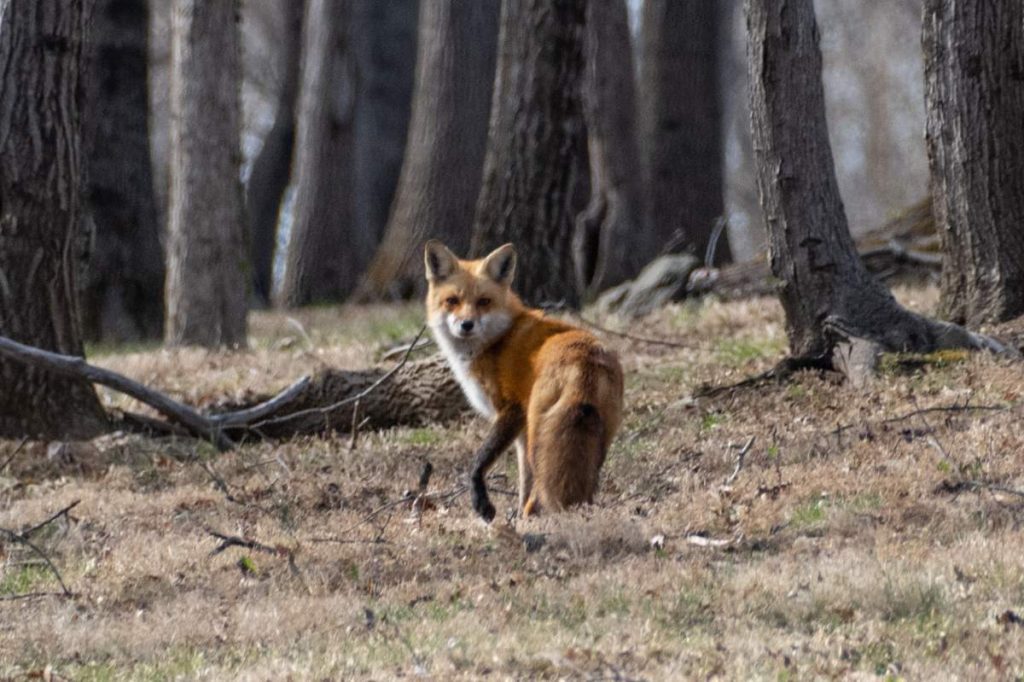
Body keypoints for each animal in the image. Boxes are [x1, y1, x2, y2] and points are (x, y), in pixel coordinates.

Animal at [423, 240, 624, 522]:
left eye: (484, 301)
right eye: (452, 301)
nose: (466, 325)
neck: (497, 340)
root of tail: (586, 361)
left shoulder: (512, 411)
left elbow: (480, 462)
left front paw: (485, 505)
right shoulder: (520, 431)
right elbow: (524, 481)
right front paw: (516, 513)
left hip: (539, 432)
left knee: (541, 488)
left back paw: (534, 517)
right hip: (597, 438)